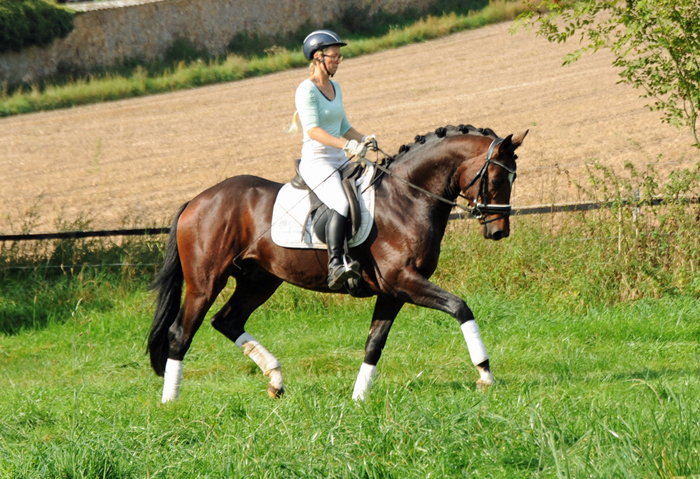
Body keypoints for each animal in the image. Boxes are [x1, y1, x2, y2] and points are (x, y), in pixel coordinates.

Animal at [150, 124, 528, 402]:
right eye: (497, 179)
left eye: (514, 178)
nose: (499, 231)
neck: (407, 198)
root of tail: (197, 200)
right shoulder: (404, 281)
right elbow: (460, 308)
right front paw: (485, 374)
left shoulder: (393, 291)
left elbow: (374, 343)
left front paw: (358, 397)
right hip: (205, 282)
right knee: (181, 332)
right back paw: (171, 402)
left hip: (259, 281)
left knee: (227, 321)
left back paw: (275, 380)